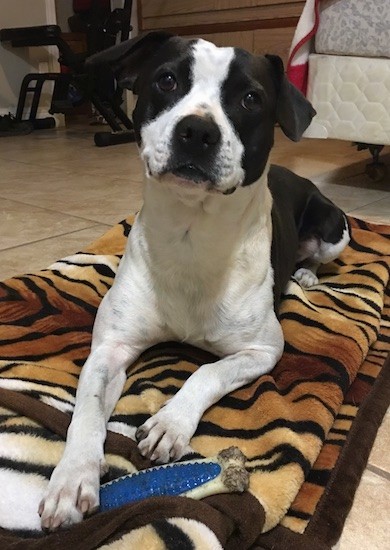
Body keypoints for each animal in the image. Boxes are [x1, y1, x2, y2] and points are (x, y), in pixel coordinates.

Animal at [38, 32, 350, 532]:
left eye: (250, 98)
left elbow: (208, 371)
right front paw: (70, 478)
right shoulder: (110, 348)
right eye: (166, 80)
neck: (191, 235)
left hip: (332, 228)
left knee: (319, 255)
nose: (198, 131)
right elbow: (86, 408)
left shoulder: (262, 349)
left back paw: (303, 274)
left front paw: (170, 423)